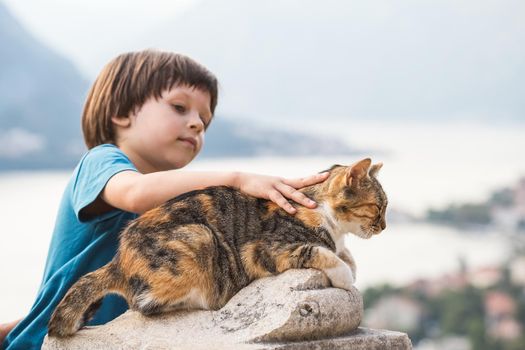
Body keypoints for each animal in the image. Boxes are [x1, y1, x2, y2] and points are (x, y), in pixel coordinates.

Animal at [48, 158, 384, 336]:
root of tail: (119, 260)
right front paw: (345, 276)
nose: (383, 226)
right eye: (379, 207)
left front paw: (349, 261)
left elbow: (343, 252)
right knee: (144, 304)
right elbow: (320, 252)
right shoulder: (266, 249)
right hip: (199, 238)